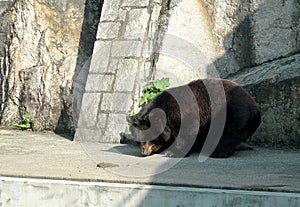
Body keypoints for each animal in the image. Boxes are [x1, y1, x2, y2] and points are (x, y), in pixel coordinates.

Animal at [127, 78, 262, 158]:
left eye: (149, 138)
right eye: (138, 140)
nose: (143, 152)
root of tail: (256, 106)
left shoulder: (182, 113)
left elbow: (186, 132)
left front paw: (172, 152)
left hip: (233, 115)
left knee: (226, 135)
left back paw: (216, 151)